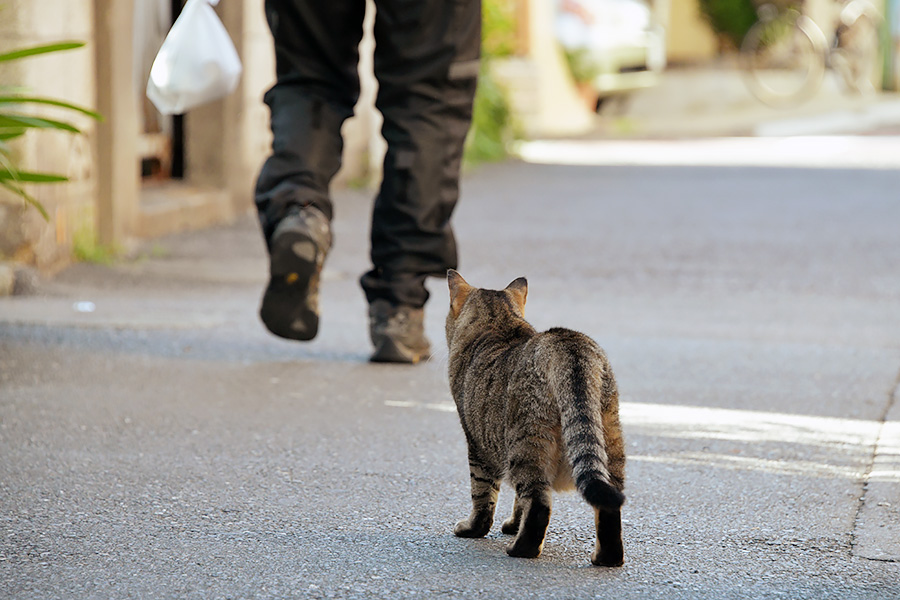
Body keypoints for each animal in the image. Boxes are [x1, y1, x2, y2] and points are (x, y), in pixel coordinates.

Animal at [442, 270, 624, 564]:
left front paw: (474, 529)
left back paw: (521, 549)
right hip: (609, 439)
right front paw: (513, 524)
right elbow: (518, 502)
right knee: (608, 505)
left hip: (526, 442)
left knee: (539, 504)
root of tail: (566, 343)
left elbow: (482, 495)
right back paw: (607, 558)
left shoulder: (477, 445)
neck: (499, 322)